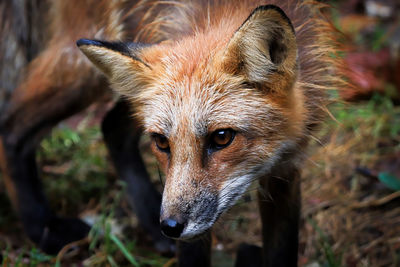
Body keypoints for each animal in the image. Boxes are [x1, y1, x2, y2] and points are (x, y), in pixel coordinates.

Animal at [0, 0, 344, 266]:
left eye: (222, 137)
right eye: (162, 142)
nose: (170, 226)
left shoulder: (287, 165)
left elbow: (282, 250)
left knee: (110, 127)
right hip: (83, 62)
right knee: (11, 128)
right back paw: (43, 229)